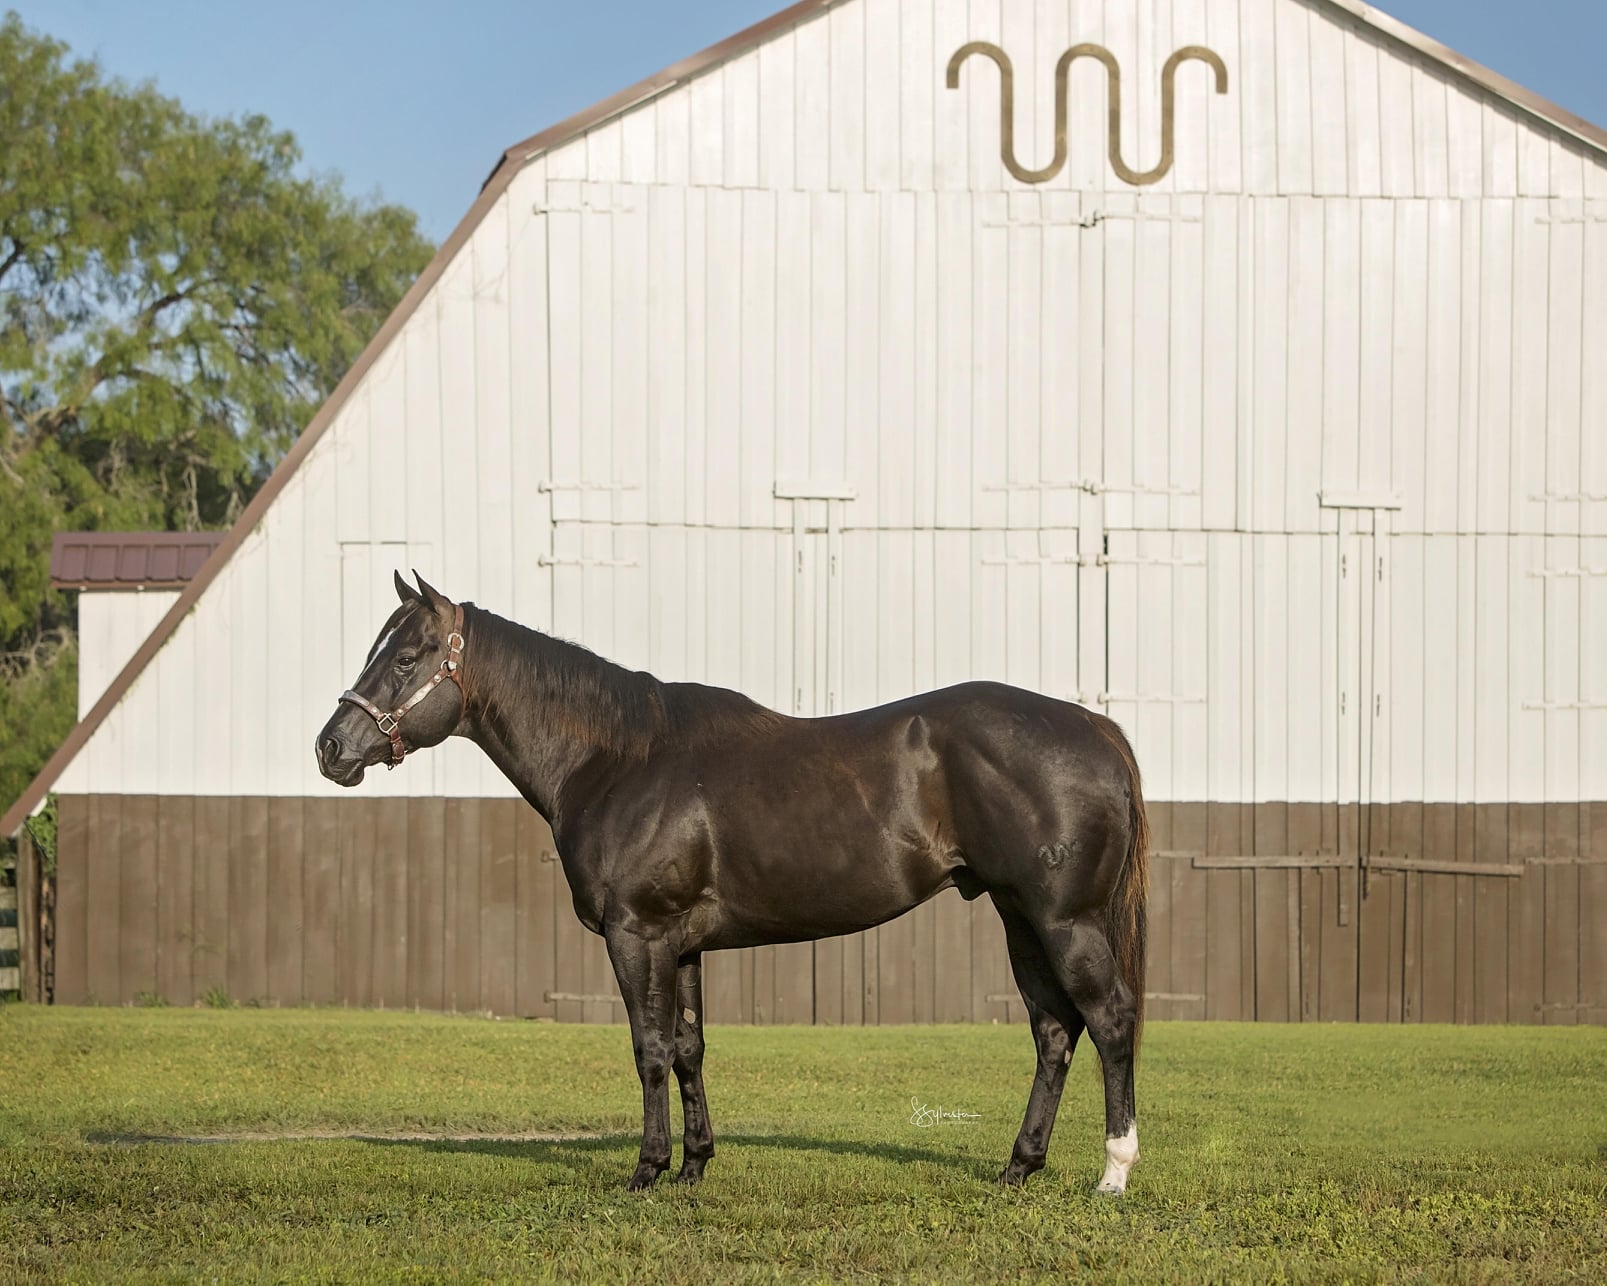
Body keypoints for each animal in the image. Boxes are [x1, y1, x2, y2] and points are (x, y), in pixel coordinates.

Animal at [316, 572, 1149, 1194]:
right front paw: (694, 1166)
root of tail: (1097, 729)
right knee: (1053, 1032)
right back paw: (1018, 1166)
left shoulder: (637, 933)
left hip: (1064, 920)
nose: (331, 748)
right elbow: (689, 1048)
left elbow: (649, 1047)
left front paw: (647, 1170)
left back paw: (1112, 1173)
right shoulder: (682, 943)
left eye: (407, 657)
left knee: (1108, 1020)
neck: (619, 760)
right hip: (1018, 917)